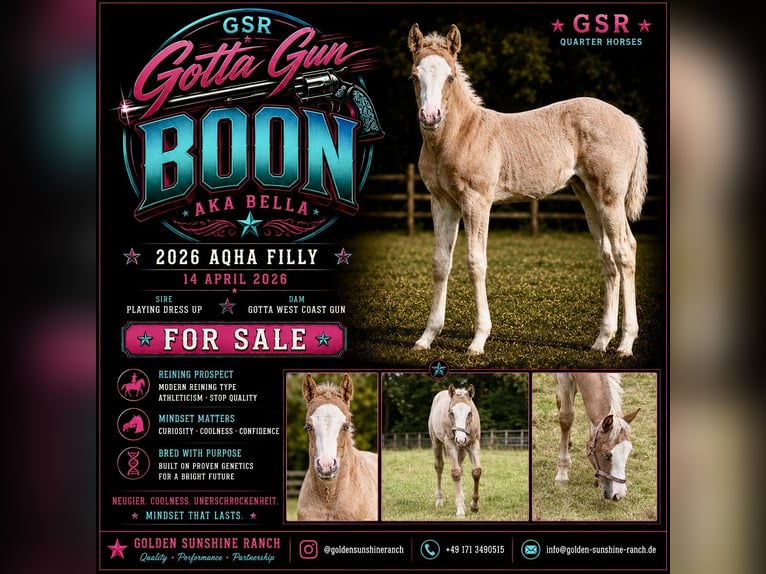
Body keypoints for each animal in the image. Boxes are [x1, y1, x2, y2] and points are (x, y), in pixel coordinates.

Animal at [407, 24, 648, 356]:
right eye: (414, 76)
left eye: (451, 76)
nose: (430, 117)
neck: (459, 135)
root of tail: (627, 119)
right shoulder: (442, 203)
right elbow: (440, 262)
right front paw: (426, 337)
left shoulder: (476, 201)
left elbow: (476, 263)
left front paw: (478, 340)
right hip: (588, 195)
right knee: (607, 256)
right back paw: (601, 341)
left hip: (610, 197)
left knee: (626, 251)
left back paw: (625, 343)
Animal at [428, 383, 482, 516]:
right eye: (451, 412)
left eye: (470, 412)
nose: (461, 439)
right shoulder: (450, 443)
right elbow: (455, 473)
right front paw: (460, 510)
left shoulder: (474, 443)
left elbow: (476, 471)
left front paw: (474, 506)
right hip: (436, 442)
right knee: (439, 467)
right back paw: (439, 500)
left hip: (462, 449)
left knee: (460, 467)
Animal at [554, 372, 640, 501]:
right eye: (605, 455)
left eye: (628, 452)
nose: (618, 495)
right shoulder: (562, 376)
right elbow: (566, 417)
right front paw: (562, 474)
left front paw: (598, 479)